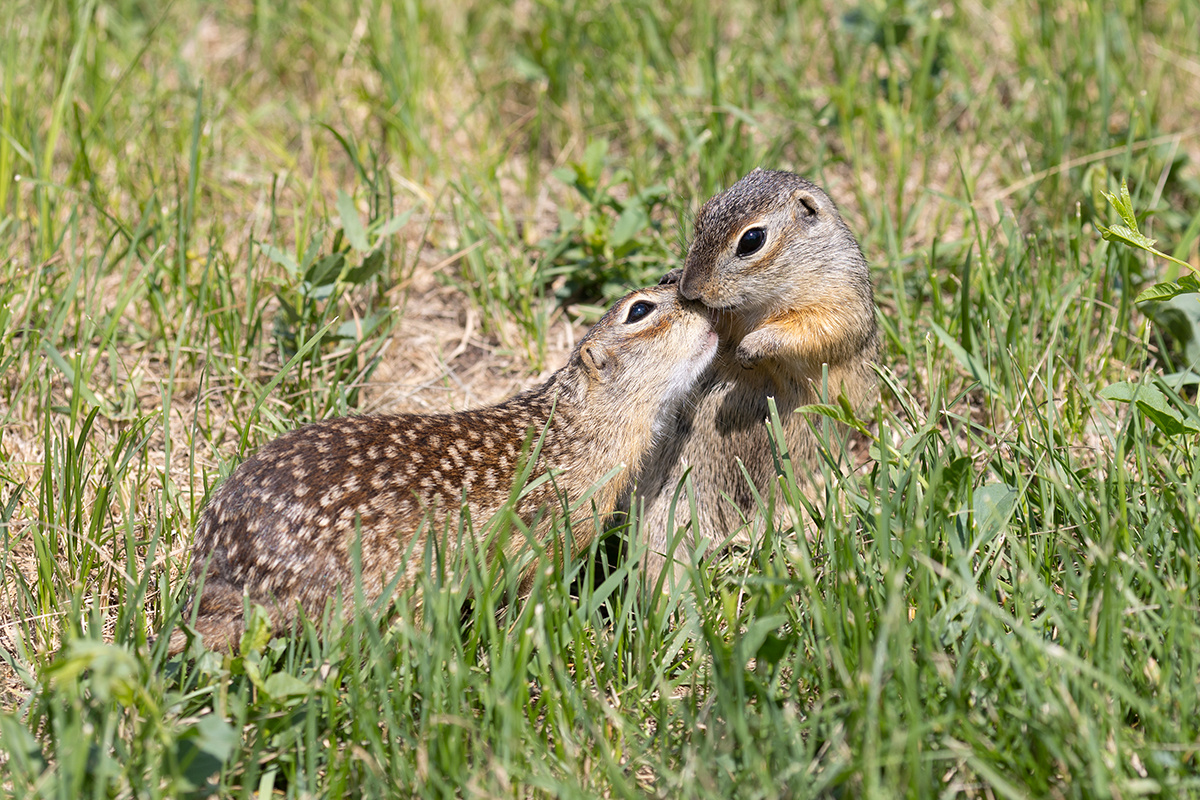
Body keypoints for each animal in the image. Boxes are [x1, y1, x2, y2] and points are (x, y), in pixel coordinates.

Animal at [638, 169, 883, 585]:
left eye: (752, 240)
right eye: (703, 213)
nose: (689, 289)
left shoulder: (838, 299)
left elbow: (813, 331)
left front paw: (752, 347)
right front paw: (671, 276)